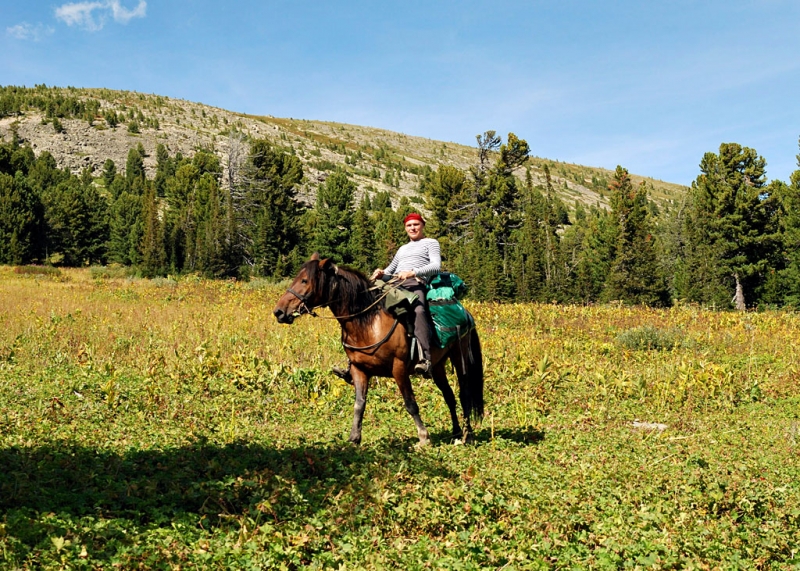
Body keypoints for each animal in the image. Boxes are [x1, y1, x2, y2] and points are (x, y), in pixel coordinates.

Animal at [272, 255, 484, 446]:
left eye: (305, 280)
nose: (279, 312)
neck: (368, 323)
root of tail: (465, 312)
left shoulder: (399, 368)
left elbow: (410, 404)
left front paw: (424, 438)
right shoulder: (359, 369)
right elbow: (359, 404)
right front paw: (354, 438)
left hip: (460, 357)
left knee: (464, 394)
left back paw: (467, 436)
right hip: (438, 365)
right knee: (449, 396)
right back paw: (456, 433)